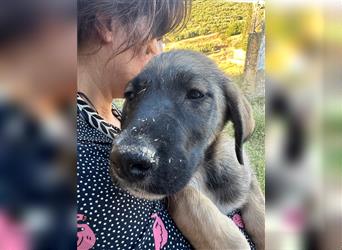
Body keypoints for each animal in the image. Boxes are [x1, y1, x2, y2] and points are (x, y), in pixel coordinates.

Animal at [109, 49, 264, 249]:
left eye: (195, 94)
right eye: (130, 95)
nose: (125, 159)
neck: (205, 172)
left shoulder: (247, 178)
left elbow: (259, 210)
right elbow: (188, 196)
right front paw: (231, 241)